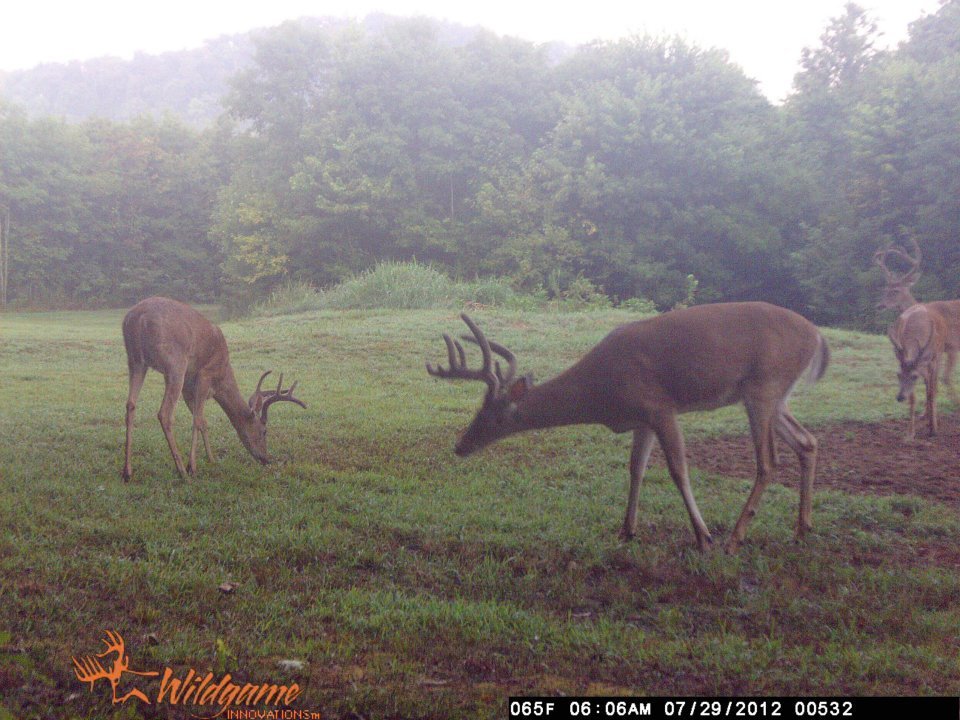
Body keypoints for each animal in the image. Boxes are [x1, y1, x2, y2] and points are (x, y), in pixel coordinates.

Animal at [121, 296, 306, 481]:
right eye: (264, 431)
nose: (266, 459)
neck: (221, 378)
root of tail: (138, 317)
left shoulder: (188, 386)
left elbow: (203, 421)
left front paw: (211, 458)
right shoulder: (204, 375)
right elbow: (197, 420)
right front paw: (192, 467)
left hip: (135, 361)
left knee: (130, 405)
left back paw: (127, 472)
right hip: (175, 364)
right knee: (164, 413)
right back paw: (182, 472)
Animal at [427, 303, 829, 553]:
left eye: (495, 418)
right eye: (477, 411)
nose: (460, 446)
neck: (604, 392)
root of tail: (818, 335)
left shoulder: (660, 406)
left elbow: (678, 470)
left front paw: (702, 537)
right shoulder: (641, 420)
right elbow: (635, 469)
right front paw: (626, 530)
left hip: (763, 385)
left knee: (769, 461)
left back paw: (734, 538)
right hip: (774, 396)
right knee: (807, 441)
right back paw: (802, 529)